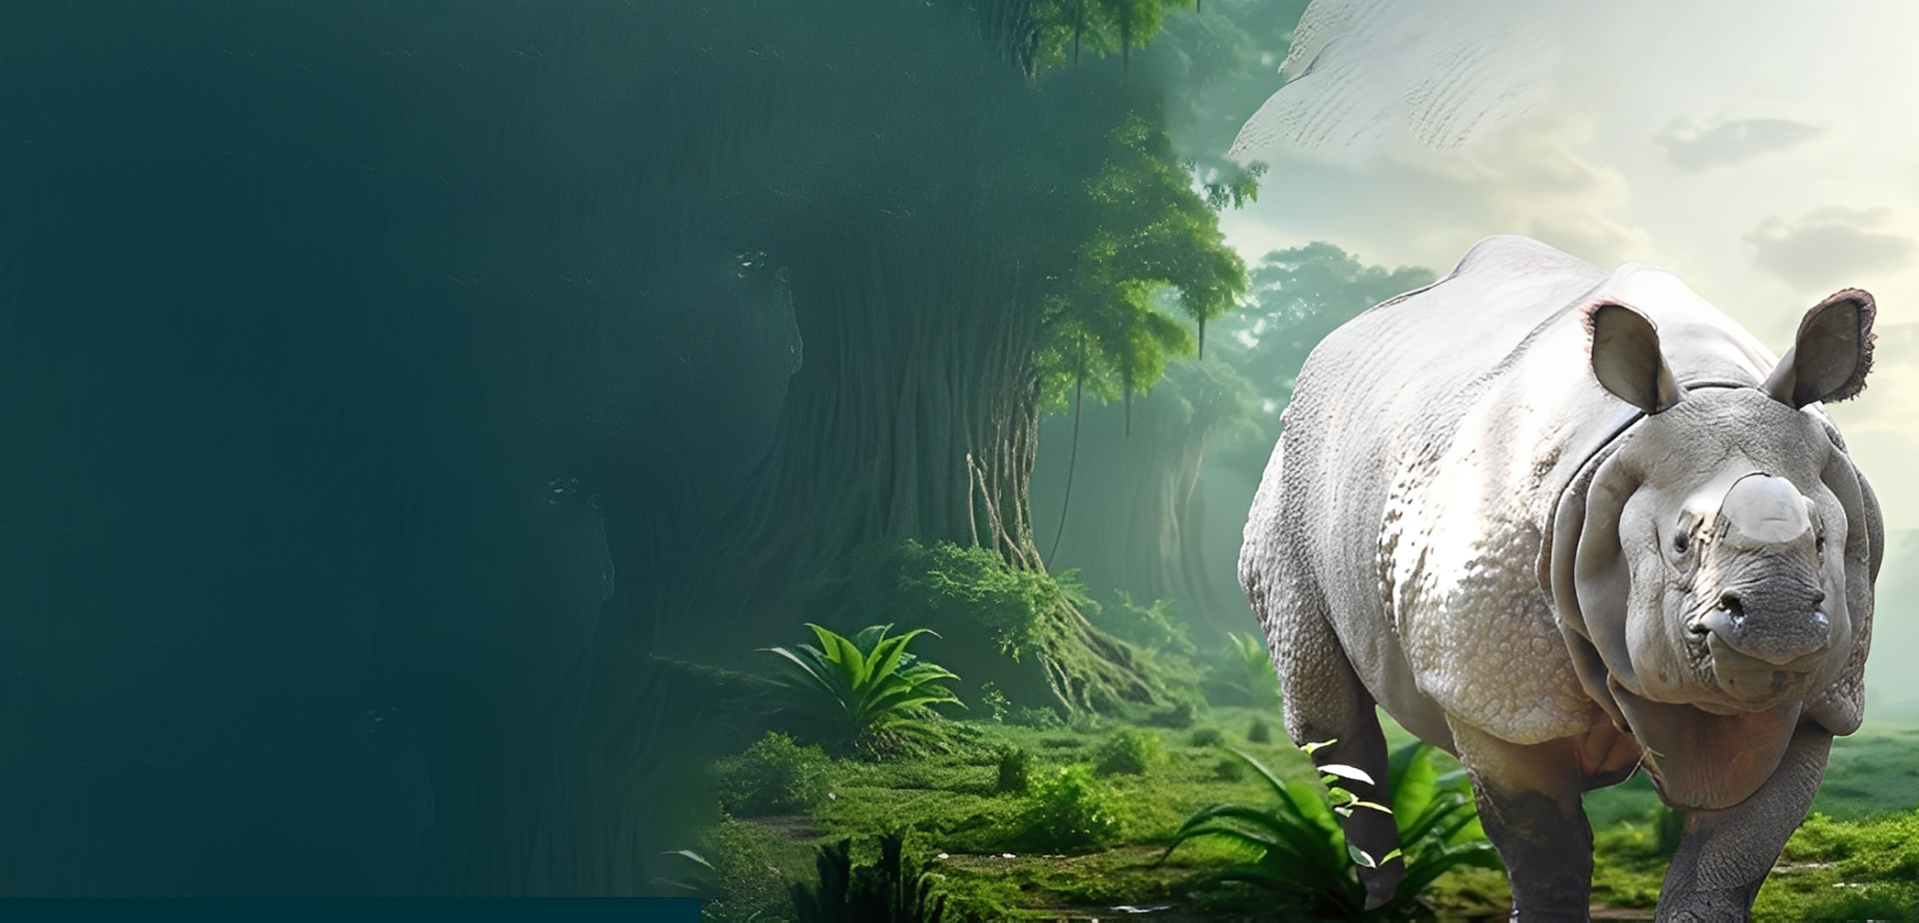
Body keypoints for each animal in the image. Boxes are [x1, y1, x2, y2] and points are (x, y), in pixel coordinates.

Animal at [1239, 235, 1882, 921]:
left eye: (1823, 539)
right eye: (1681, 543)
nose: (1777, 620)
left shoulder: (1822, 698)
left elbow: (1735, 850)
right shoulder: (1498, 691)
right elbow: (1543, 847)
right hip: (1292, 481)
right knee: (1331, 717)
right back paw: (1384, 905)